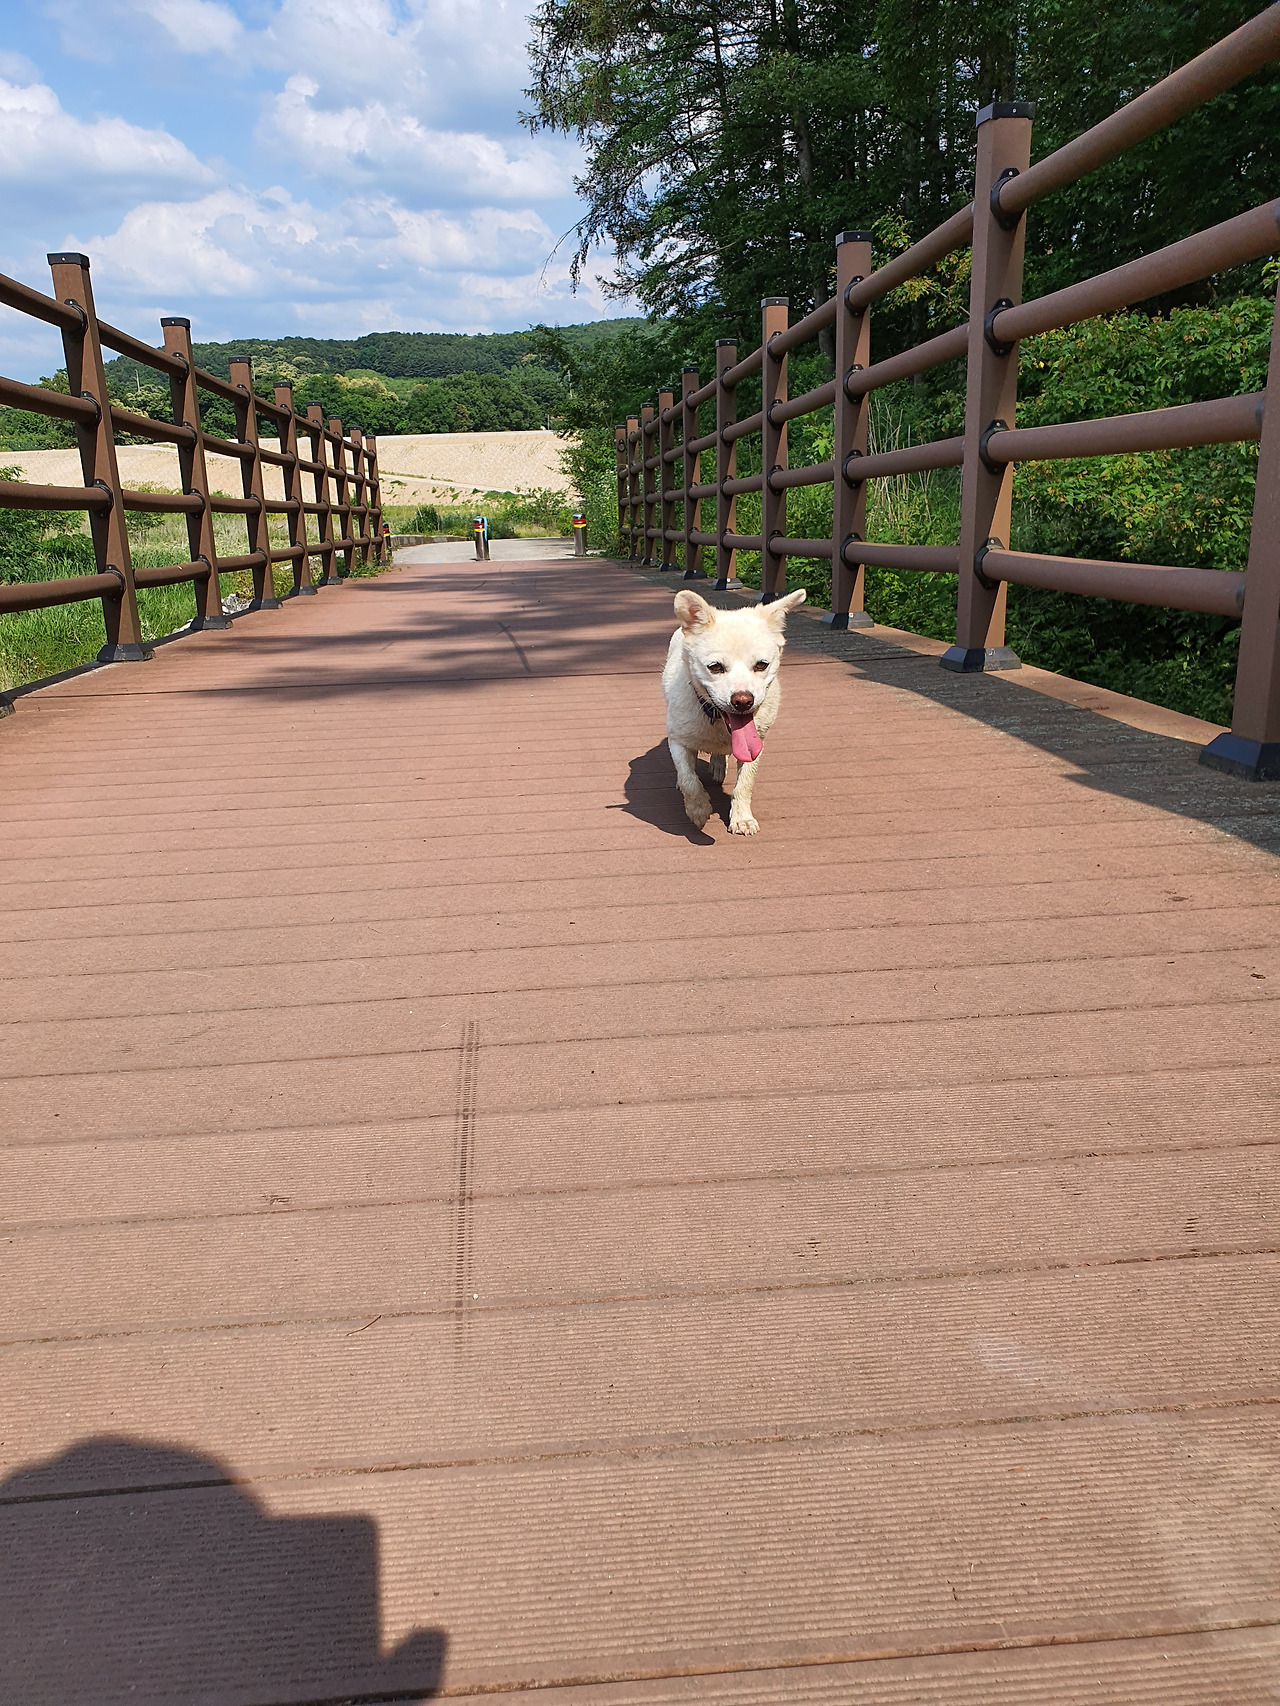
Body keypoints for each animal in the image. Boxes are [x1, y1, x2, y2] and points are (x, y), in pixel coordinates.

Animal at [663, 587, 806, 834]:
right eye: (715, 667)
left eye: (761, 665)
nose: (743, 700)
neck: (719, 724)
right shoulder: (678, 740)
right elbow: (689, 779)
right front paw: (698, 809)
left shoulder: (755, 745)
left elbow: (744, 784)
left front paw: (742, 818)